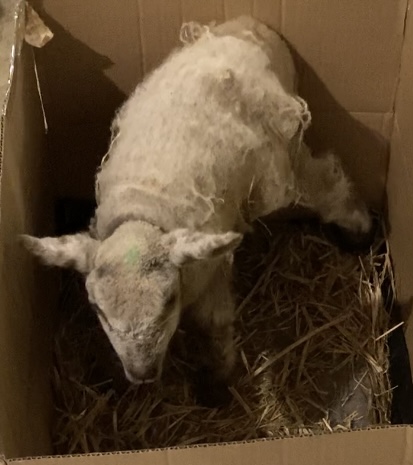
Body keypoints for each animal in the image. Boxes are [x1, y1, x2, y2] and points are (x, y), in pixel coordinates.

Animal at [20, 16, 374, 404]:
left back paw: (359, 228)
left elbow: (212, 322)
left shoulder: (210, 266)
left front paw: (216, 381)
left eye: (169, 300)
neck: (143, 214)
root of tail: (251, 25)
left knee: (326, 181)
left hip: (283, 155)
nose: (142, 374)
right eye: (98, 309)